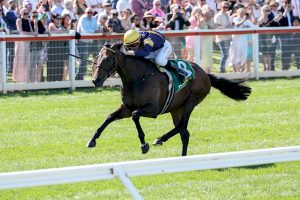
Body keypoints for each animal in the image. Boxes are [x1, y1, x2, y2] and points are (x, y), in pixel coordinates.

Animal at [86, 41, 251, 155]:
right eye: (97, 57)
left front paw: (144, 145)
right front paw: (92, 140)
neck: (138, 78)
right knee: (184, 132)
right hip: (176, 108)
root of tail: (205, 73)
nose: (95, 80)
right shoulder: (126, 108)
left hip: (191, 101)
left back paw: (160, 139)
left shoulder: (152, 110)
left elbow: (135, 116)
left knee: (182, 126)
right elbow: (109, 117)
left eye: (107, 59)